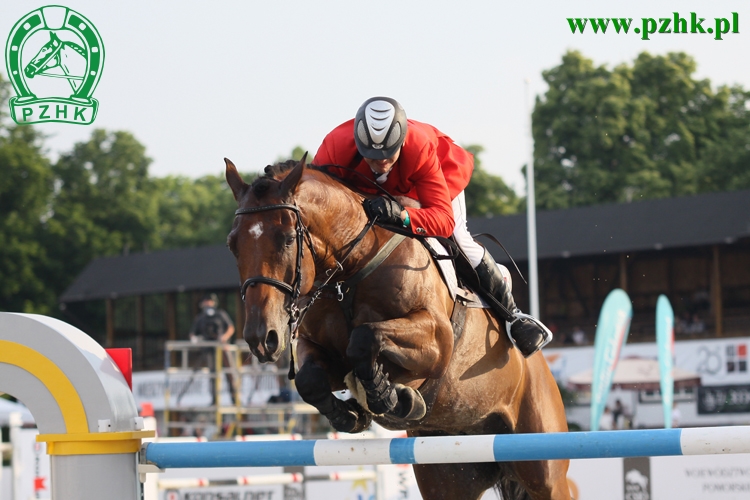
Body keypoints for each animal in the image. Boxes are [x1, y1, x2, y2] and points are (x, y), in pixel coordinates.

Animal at [226, 156, 572, 500]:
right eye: (233, 245)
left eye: (287, 239)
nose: (261, 337)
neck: (352, 269)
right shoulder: (320, 349)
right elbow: (310, 379)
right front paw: (351, 414)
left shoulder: (437, 342)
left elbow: (365, 338)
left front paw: (389, 396)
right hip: (448, 475)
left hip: (544, 470)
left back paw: (525, 331)